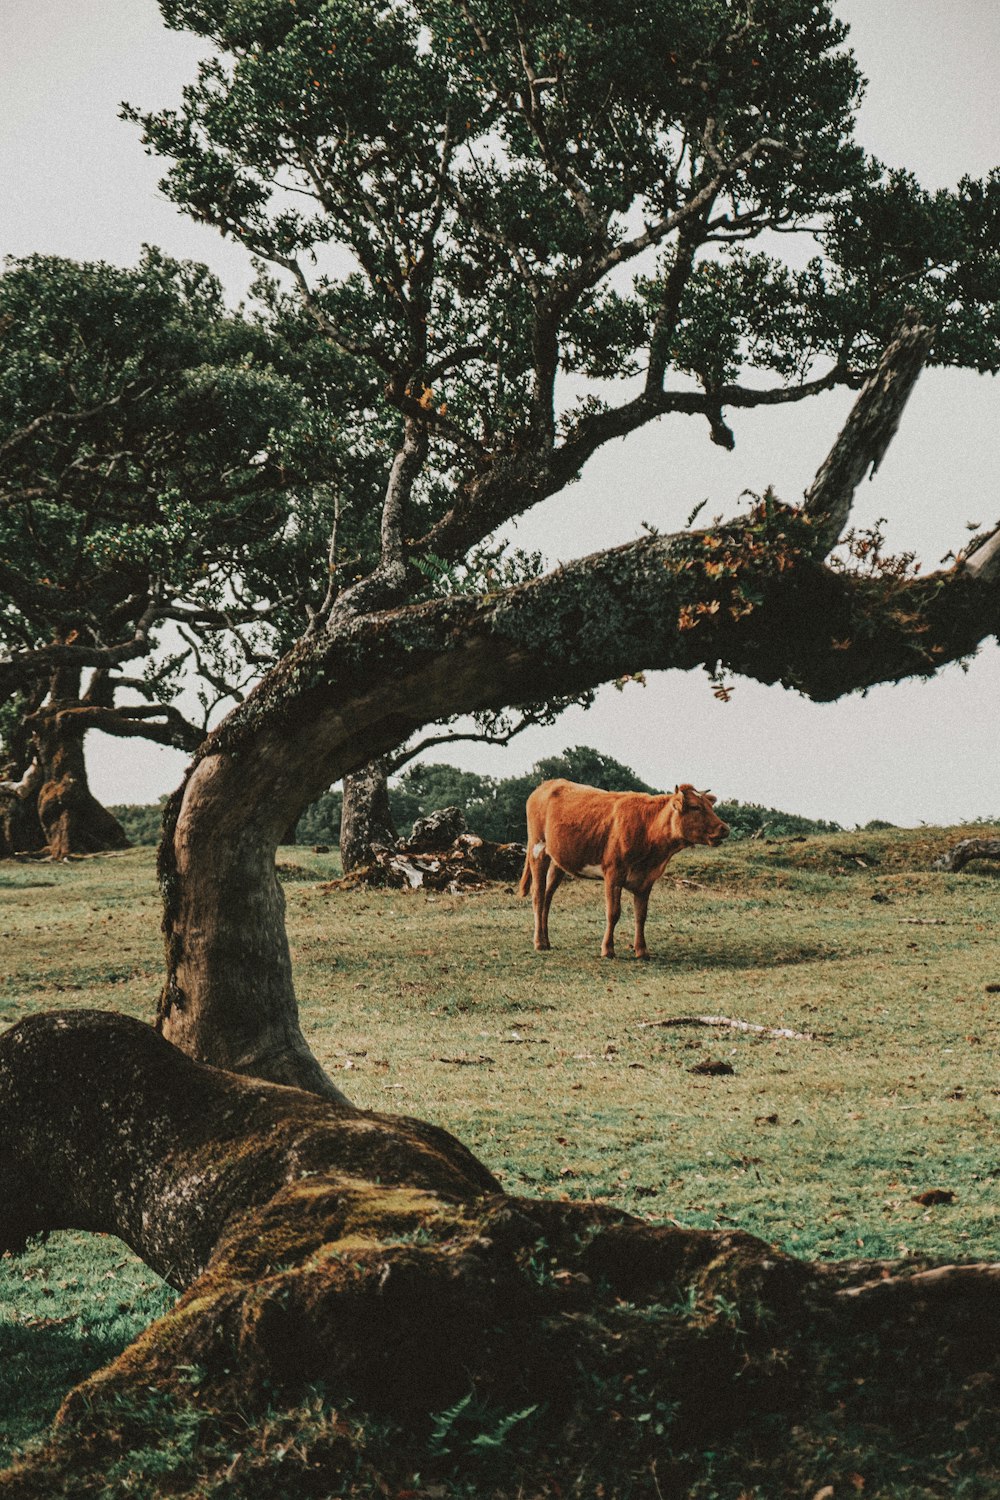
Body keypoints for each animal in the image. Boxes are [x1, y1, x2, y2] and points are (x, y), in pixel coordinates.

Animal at [515, 780, 728, 954]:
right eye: (695, 807)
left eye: (709, 805)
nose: (724, 828)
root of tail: (546, 784)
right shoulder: (613, 873)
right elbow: (613, 912)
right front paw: (607, 949)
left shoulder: (646, 879)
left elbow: (641, 915)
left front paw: (641, 951)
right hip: (537, 849)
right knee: (538, 895)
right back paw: (539, 942)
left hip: (558, 860)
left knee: (548, 897)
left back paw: (546, 940)